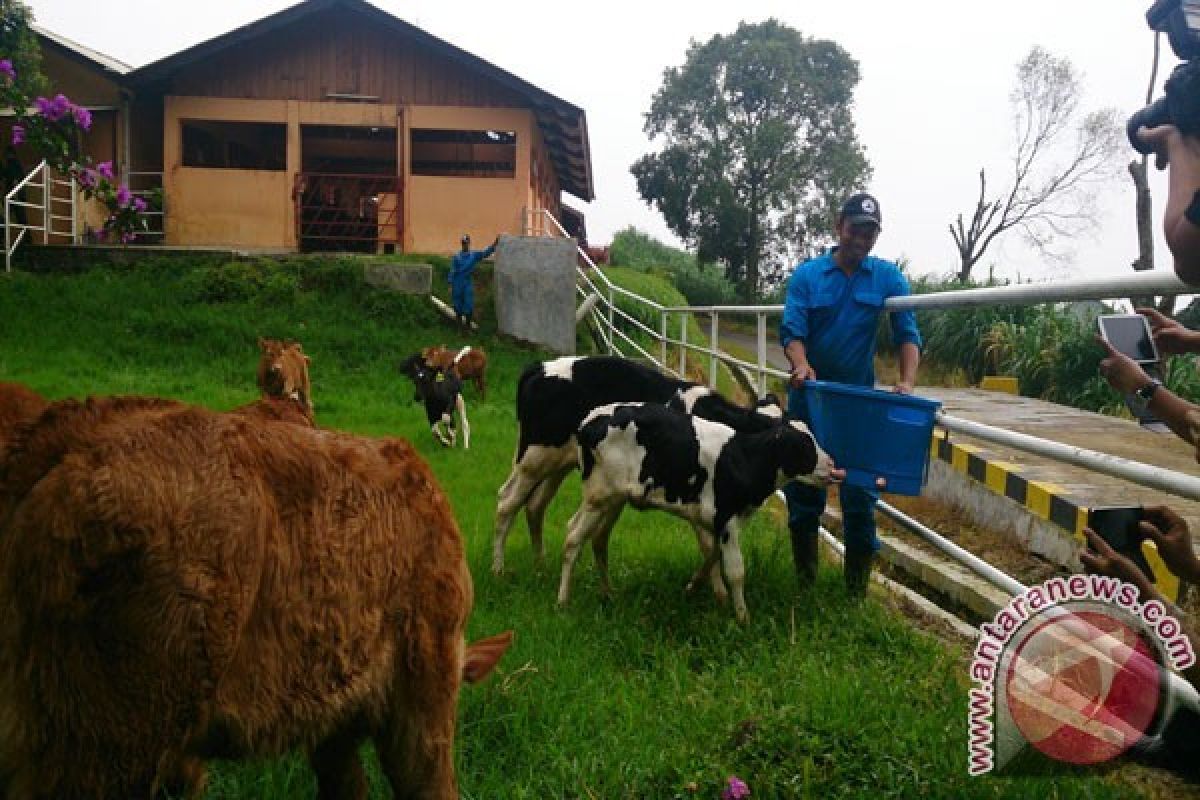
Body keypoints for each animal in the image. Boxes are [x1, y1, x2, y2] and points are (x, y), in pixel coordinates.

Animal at [492, 357, 782, 575]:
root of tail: (539, 367)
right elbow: (709, 546)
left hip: (560, 462)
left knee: (534, 505)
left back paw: (540, 566)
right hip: (534, 458)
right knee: (507, 502)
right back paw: (498, 570)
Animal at [559, 402, 835, 623]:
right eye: (802, 444)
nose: (833, 467)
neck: (742, 458)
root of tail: (590, 420)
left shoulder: (720, 521)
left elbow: (712, 554)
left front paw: (695, 588)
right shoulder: (726, 519)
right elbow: (736, 571)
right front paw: (743, 618)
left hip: (612, 499)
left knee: (593, 537)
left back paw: (608, 594)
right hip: (600, 496)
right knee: (573, 539)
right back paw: (563, 602)